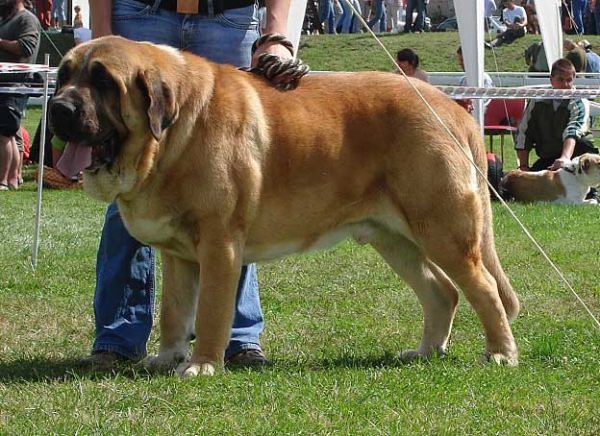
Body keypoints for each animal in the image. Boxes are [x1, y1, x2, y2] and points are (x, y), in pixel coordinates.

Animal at [48, 36, 520, 374]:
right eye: (63, 75)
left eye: (103, 81)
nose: (57, 108)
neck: (173, 131)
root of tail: (450, 108)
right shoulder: (179, 256)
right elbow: (173, 311)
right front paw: (167, 357)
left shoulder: (219, 247)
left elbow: (211, 312)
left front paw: (202, 365)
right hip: (393, 239)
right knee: (441, 291)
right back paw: (425, 351)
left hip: (443, 232)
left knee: (484, 288)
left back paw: (500, 353)